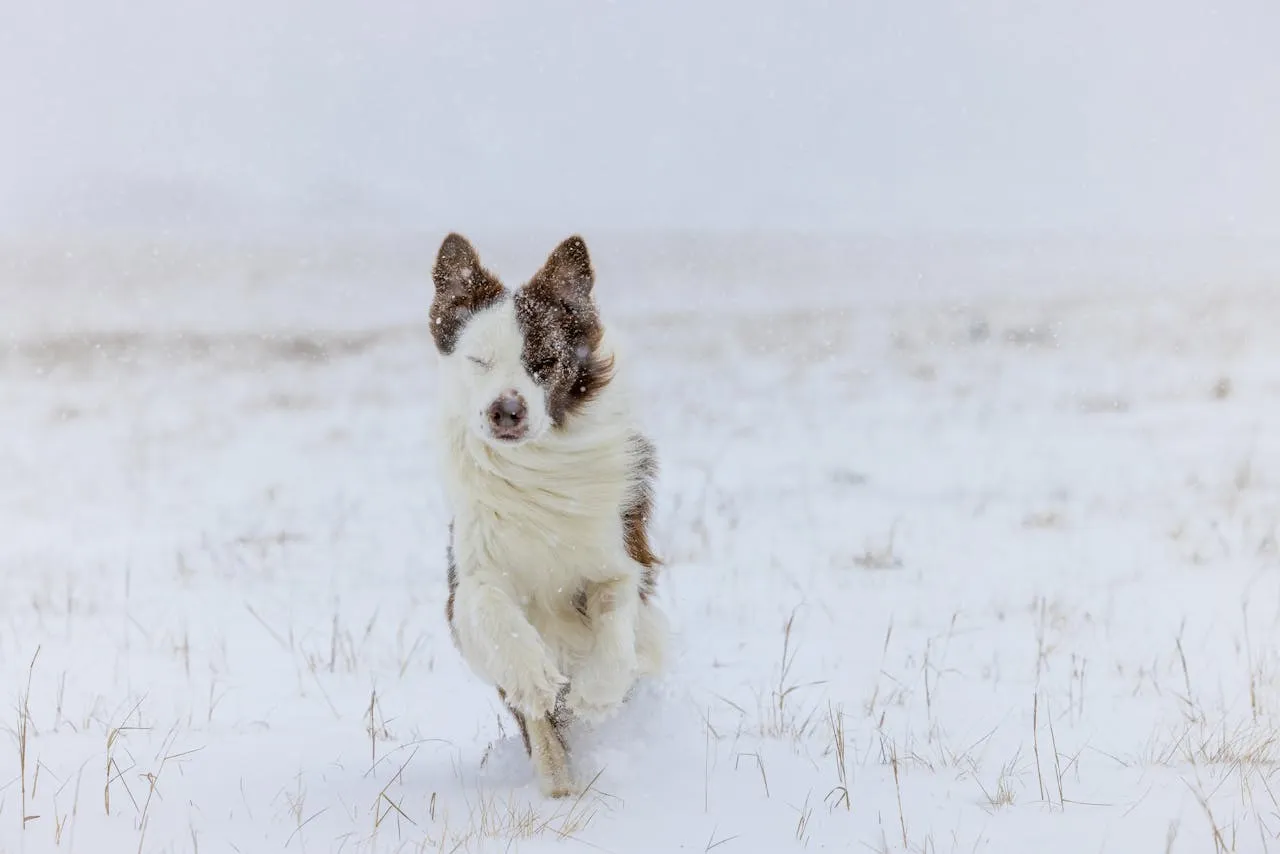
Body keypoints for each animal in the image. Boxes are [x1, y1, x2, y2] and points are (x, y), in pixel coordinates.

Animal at [432, 231, 670, 793]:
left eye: (544, 362)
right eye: (478, 360)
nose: (507, 410)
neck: (535, 465)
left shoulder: (623, 557)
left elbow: (616, 613)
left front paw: (596, 694)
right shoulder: (469, 574)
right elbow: (490, 608)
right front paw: (533, 676)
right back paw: (557, 779)